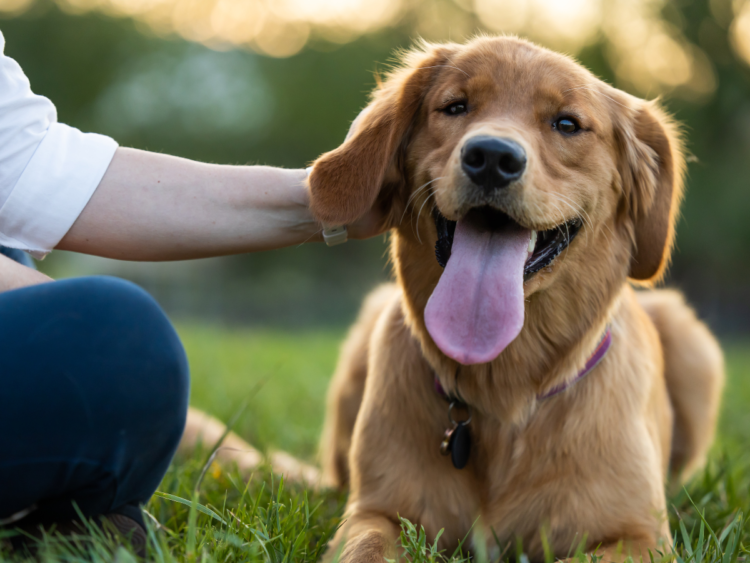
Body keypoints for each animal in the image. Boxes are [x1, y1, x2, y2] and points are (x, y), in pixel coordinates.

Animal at [306, 37, 728, 560]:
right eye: (455, 106)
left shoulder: (639, 536)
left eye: (567, 124)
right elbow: (366, 546)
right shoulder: (374, 512)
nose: (491, 157)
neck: (504, 388)